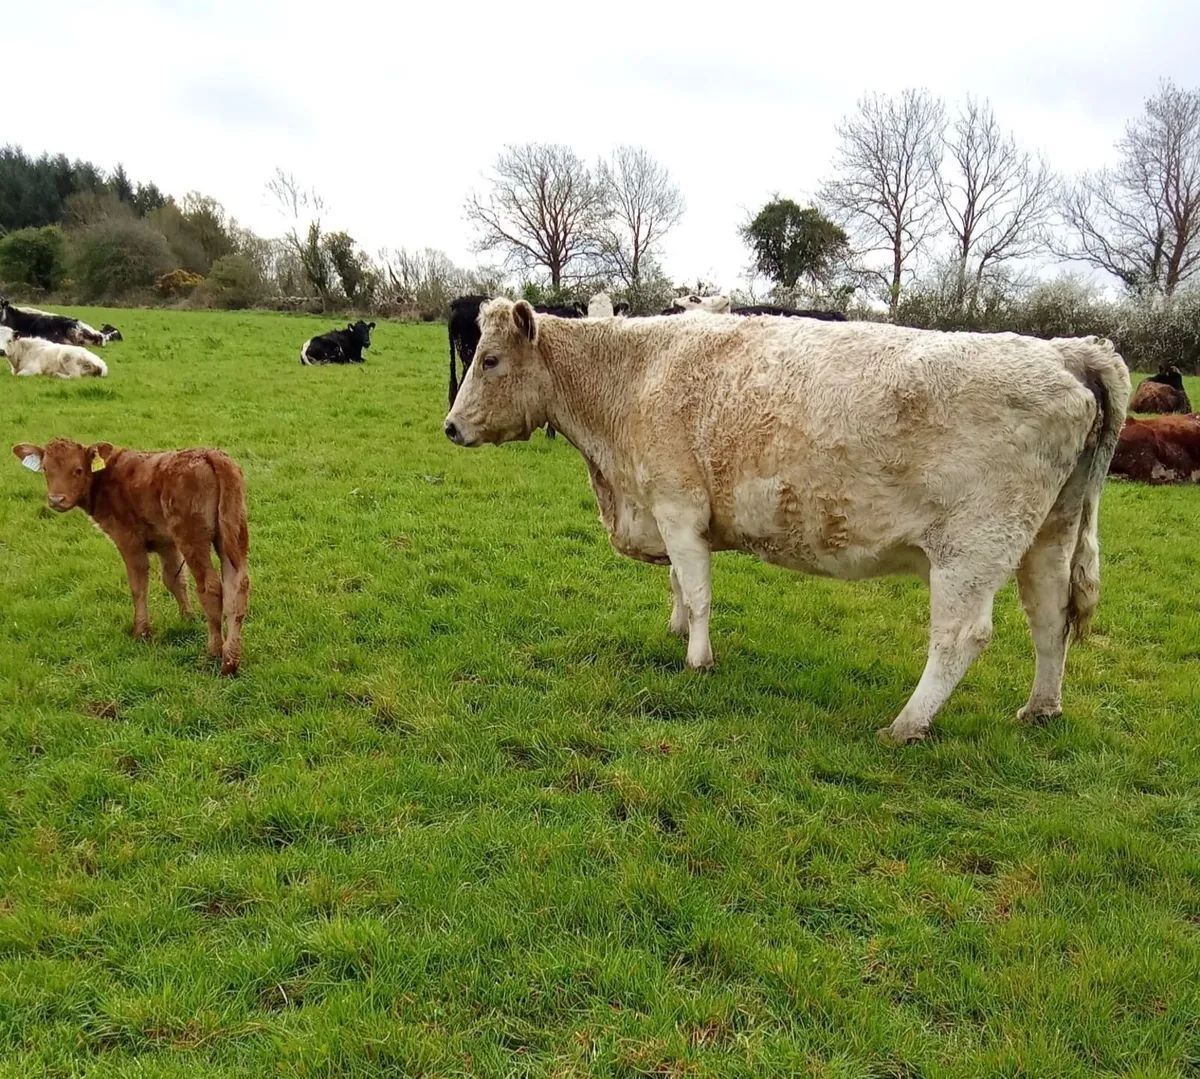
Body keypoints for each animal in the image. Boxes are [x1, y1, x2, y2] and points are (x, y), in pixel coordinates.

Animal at [12, 439, 251, 674]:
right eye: (45, 469)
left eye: (78, 470)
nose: (56, 499)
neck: (104, 478)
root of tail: (210, 454)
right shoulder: (166, 542)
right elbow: (174, 579)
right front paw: (188, 617)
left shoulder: (129, 540)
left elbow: (138, 585)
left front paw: (141, 631)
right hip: (232, 532)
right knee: (237, 584)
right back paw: (230, 659)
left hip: (192, 537)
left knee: (210, 587)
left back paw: (214, 653)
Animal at [444, 300, 1129, 744]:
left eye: (491, 360)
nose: (450, 427)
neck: (636, 376)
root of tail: (1067, 351)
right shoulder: (672, 513)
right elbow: (679, 585)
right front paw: (675, 631)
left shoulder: (676, 504)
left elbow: (697, 589)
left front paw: (697, 659)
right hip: (1050, 532)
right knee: (1050, 617)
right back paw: (1040, 710)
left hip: (973, 547)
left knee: (961, 636)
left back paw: (906, 725)